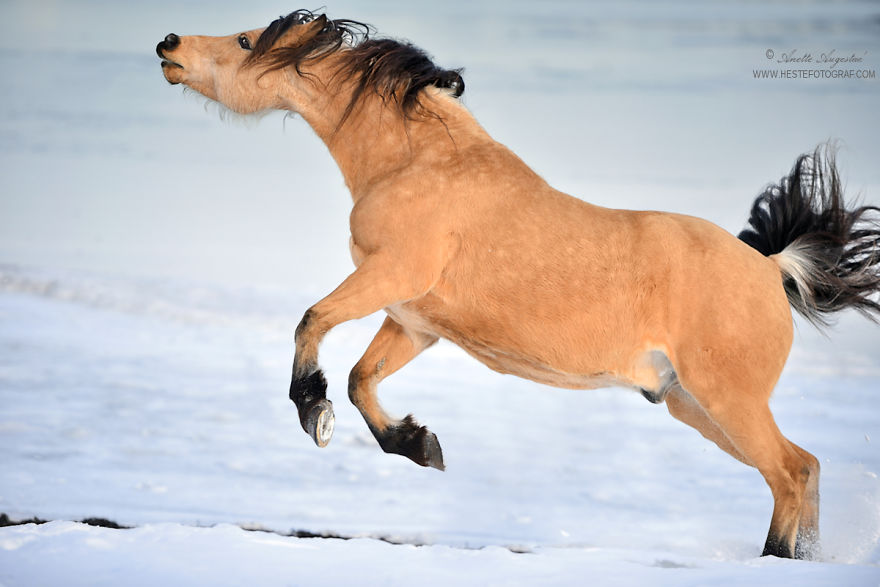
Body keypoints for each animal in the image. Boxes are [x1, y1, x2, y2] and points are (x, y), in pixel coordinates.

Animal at [156, 10, 880, 559]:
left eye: (246, 41)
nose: (169, 46)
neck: (416, 164)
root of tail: (770, 268)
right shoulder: (413, 319)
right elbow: (363, 380)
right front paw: (420, 444)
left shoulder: (388, 276)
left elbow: (311, 323)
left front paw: (315, 412)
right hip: (690, 403)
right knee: (804, 468)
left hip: (728, 400)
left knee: (789, 472)